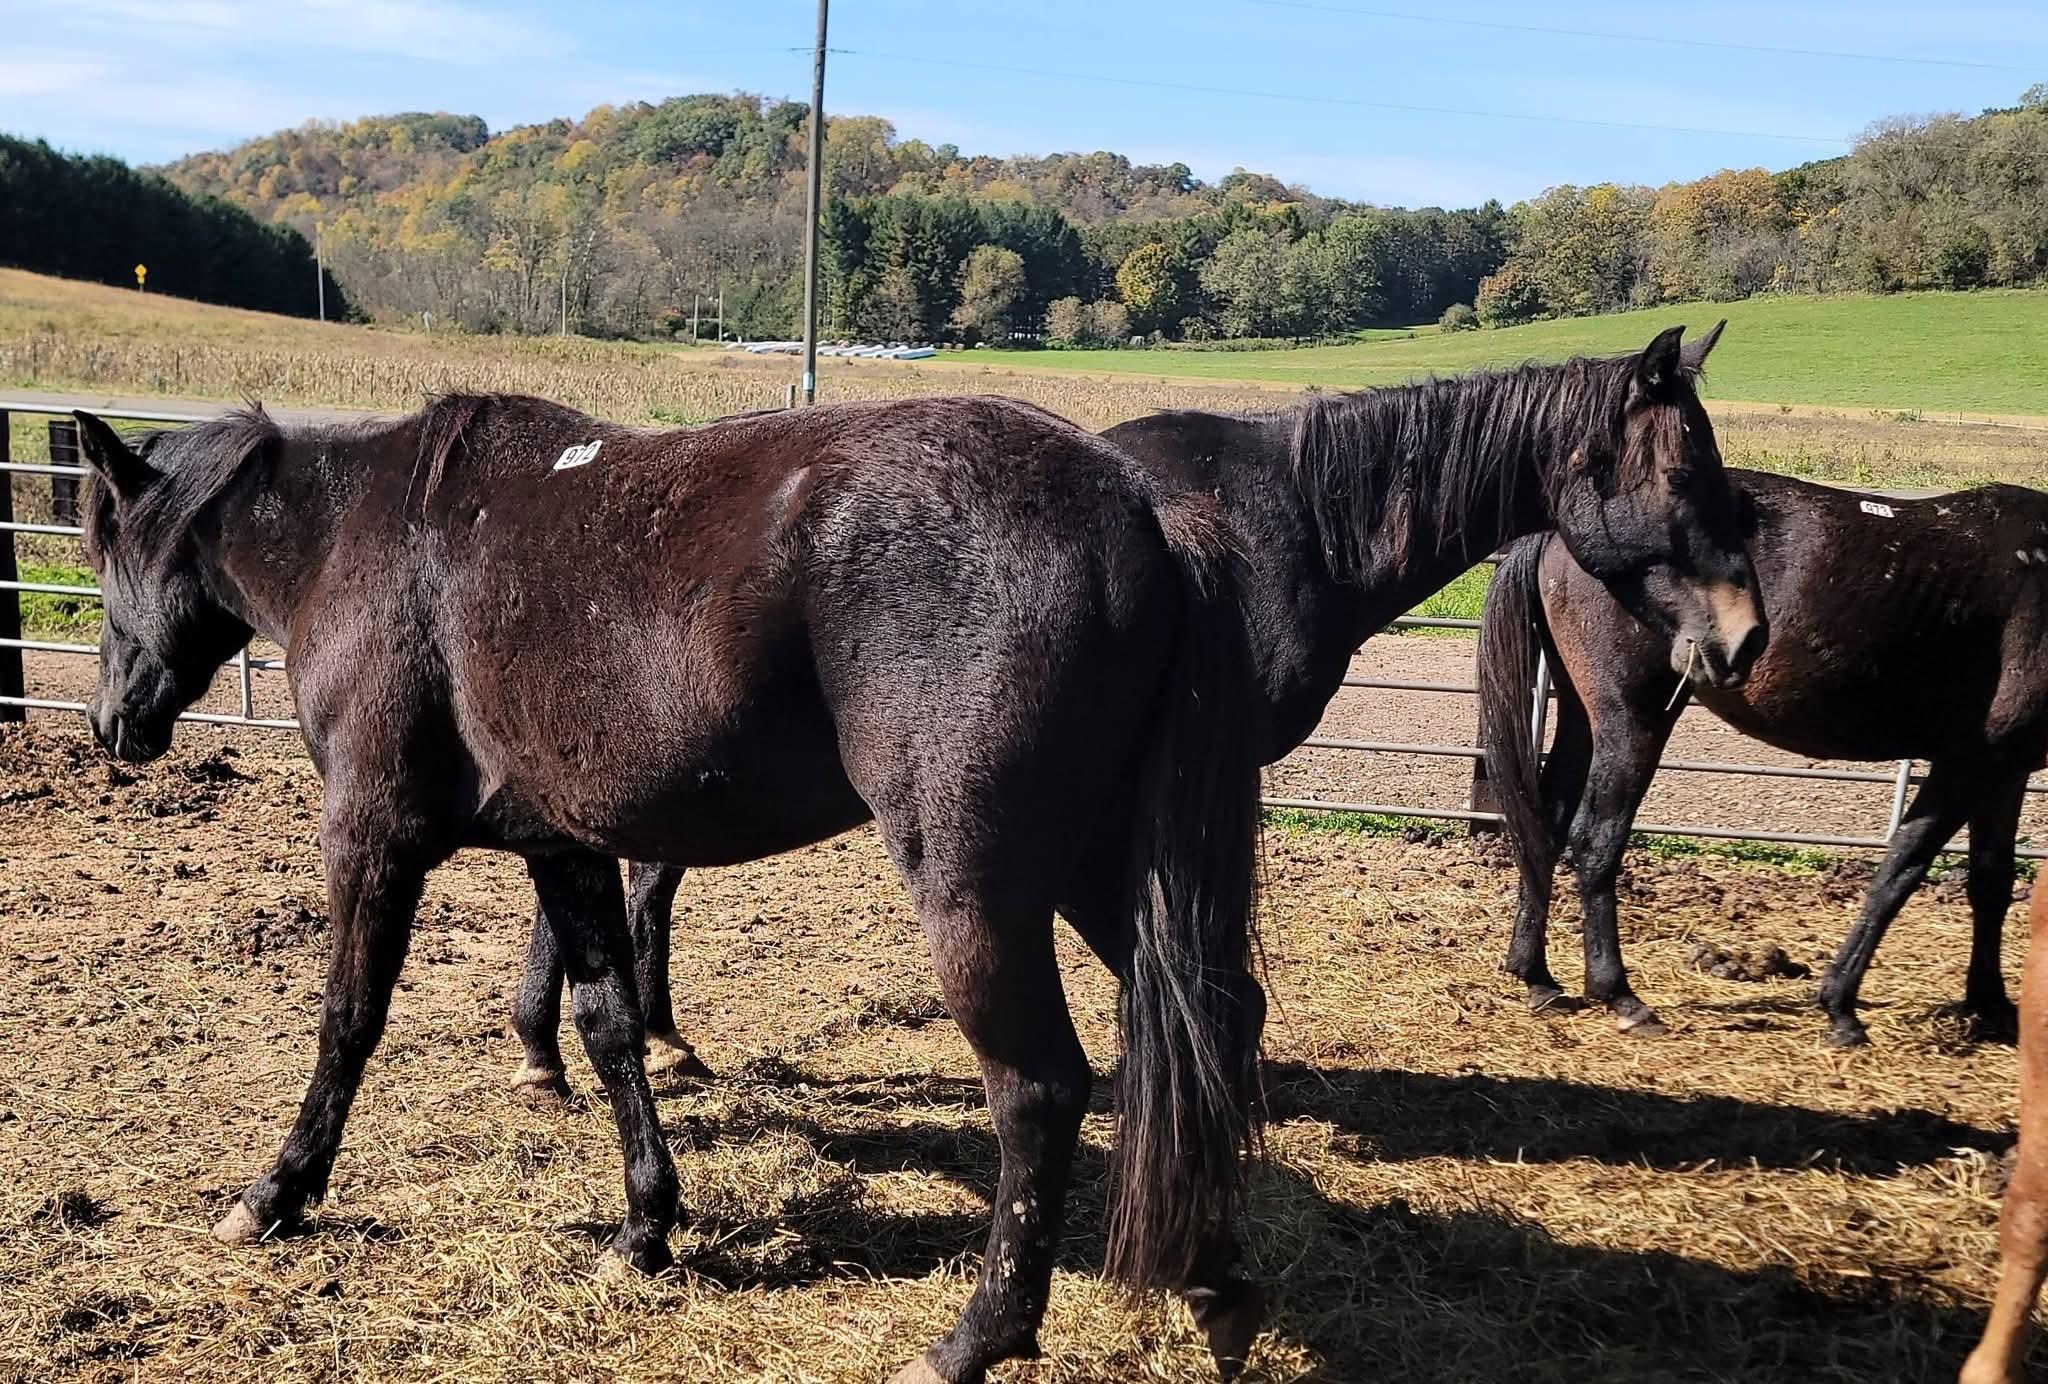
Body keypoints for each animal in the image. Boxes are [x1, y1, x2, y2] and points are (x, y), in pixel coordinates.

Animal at [71, 392, 1269, 1384]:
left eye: (104, 551)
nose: (110, 722)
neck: (363, 543)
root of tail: (1140, 508)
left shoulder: (371, 839)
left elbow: (348, 1021)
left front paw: (275, 1193)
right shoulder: (563, 850)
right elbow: (605, 1027)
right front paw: (644, 1227)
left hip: (982, 886)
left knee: (1038, 1090)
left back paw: (976, 1340)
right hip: (1101, 870)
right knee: (1210, 1020)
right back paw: (1216, 1286)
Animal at [1478, 470, 2048, 1045]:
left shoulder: (2008, 768)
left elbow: (1991, 880)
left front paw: (1992, 1005)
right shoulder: (1972, 759)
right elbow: (1899, 872)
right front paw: (1841, 1007)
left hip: (1583, 712)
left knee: (1545, 825)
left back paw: (1536, 975)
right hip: (1633, 718)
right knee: (1596, 839)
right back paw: (1619, 994)